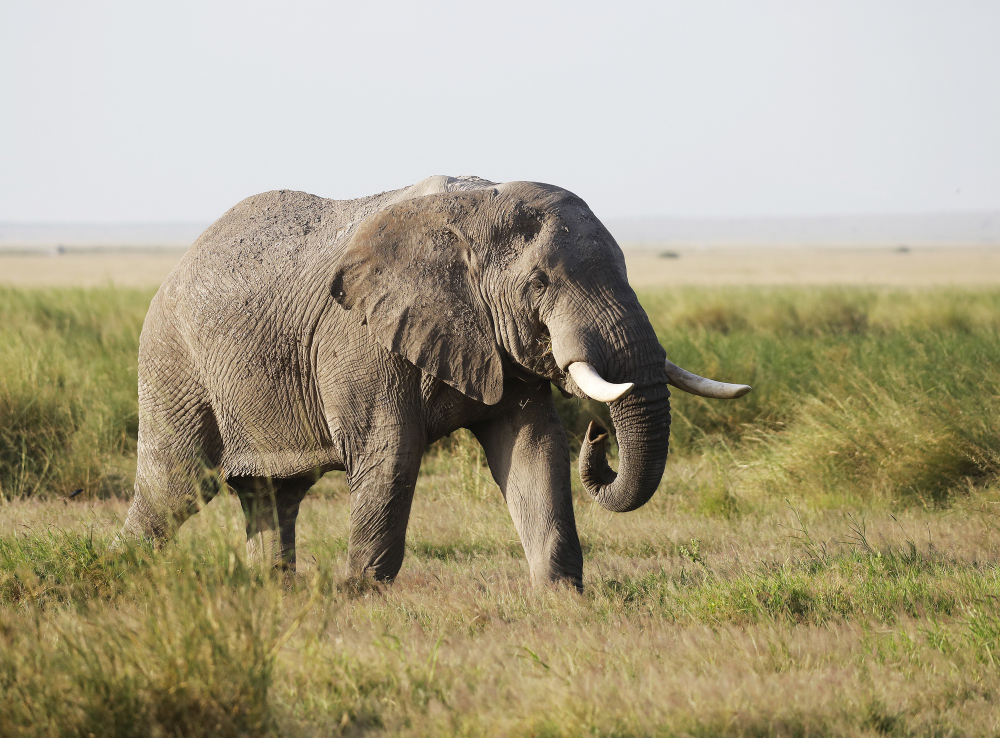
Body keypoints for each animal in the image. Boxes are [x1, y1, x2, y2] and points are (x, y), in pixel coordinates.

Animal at [118, 174, 749, 589]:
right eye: (540, 283)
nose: (599, 439)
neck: (473, 209)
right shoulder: (363, 337)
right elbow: (391, 455)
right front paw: (359, 600)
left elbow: (534, 449)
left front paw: (562, 600)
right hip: (173, 360)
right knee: (174, 486)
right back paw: (119, 575)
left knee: (273, 496)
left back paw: (272, 595)